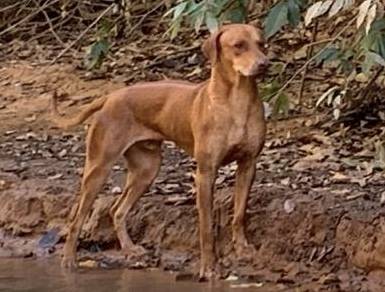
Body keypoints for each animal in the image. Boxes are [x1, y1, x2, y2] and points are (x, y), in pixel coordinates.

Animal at [51, 24, 268, 280]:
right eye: (238, 45)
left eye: (261, 44)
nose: (264, 64)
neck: (237, 101)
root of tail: (110, 97)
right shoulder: (206, 173)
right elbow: (206, 228)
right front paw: (208, 267)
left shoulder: (248, 164)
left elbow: (239, 213)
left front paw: (242, 248)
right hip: (98, 168)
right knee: (77, 218)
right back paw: (68, 260)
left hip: (147, 169)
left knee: (117, 210)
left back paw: (130, 249)